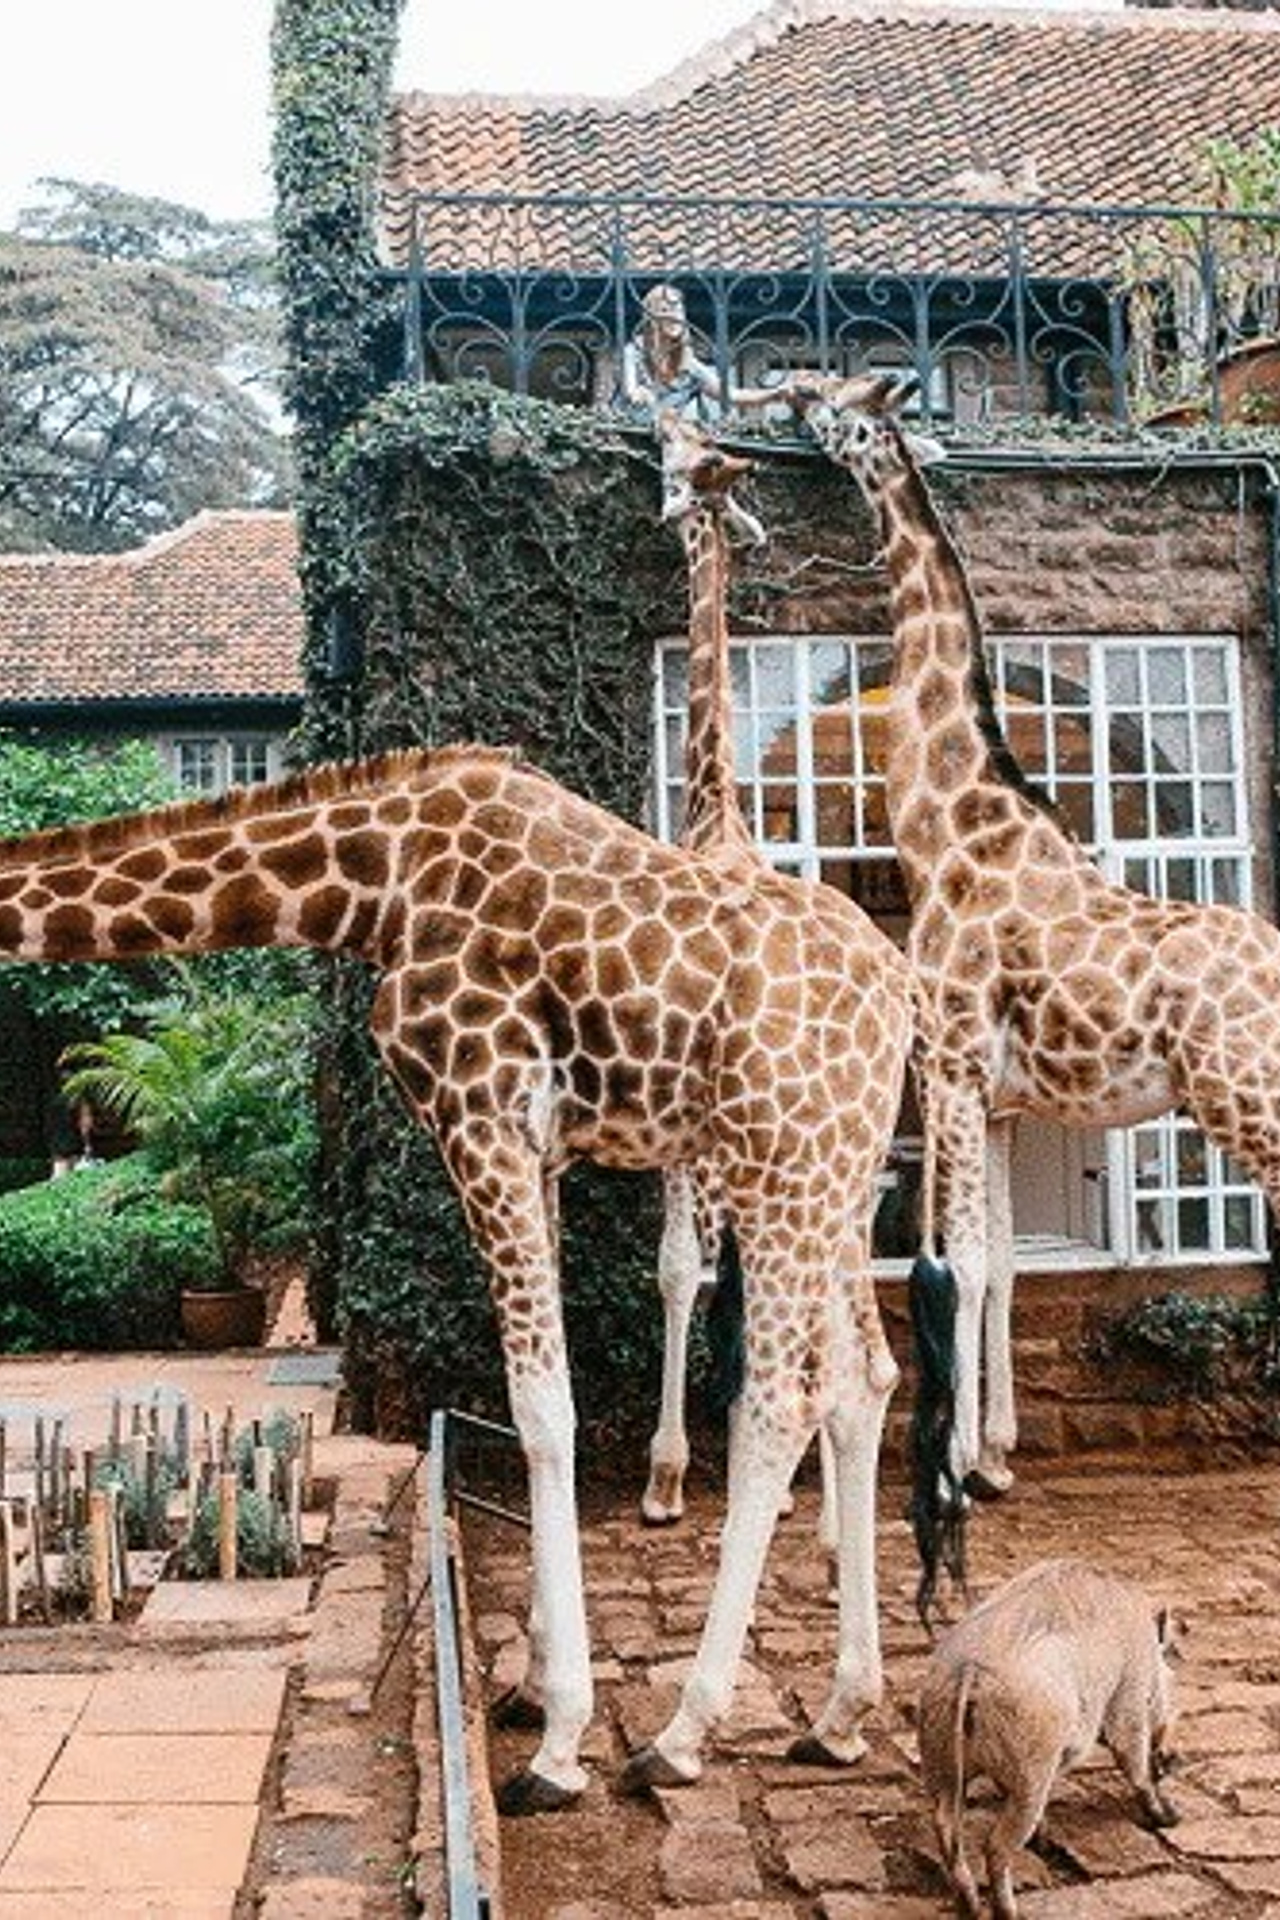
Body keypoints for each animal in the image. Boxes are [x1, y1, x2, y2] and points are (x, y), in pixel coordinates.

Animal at [0, 739, 915, 1802]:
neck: (370, 887)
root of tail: (898, 988)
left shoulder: (479, 1118)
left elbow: (541, 1408)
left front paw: (561, 1744)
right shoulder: (543, 1152)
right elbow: (538, 1404)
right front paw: (529, 1682)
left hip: (776, 1160)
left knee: (778, 1400)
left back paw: (683, 1732)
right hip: (840, 1172)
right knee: (861, 1379)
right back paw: (842, 1715)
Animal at [780, 368, 1280, 1526]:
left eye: (838, 397)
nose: (781, 396)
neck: (950, 831)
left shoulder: (953, 1071)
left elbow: (958, 1263)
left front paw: (959, 1466)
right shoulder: (1001, 1103)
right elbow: (1002, 1263)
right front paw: (1001, 1450)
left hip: (1245, 1094)